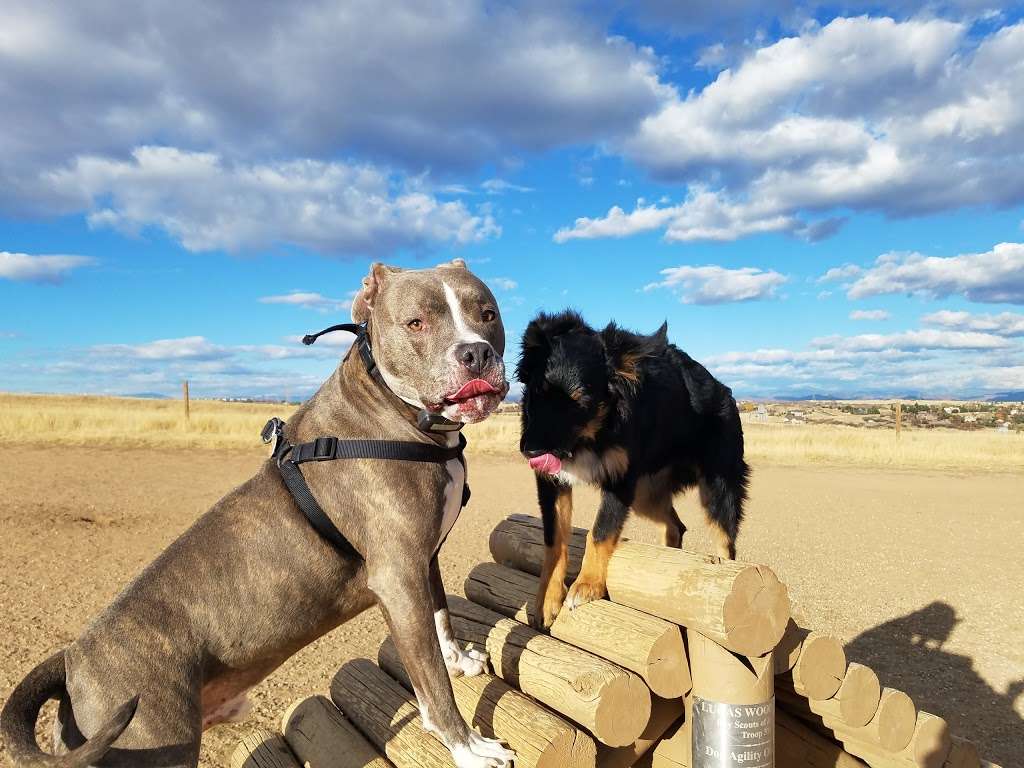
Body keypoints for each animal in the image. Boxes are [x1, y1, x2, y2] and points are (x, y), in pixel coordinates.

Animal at [0, 260, 512, 768]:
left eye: (487, 314)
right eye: (416, 323)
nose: (475, 353)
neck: (390, 408)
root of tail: (71, 660)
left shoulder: (423, 560)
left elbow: (442, 618)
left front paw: (461, 661)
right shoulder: (397, 576)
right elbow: (431, 681)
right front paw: (469, 748)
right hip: (153, 741)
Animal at [516, 311, 749, 630]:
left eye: (579, 402)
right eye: (536, 392)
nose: (530, 451)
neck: (592, 434)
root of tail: (722, 389)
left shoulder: (620, 478)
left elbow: (600, 531)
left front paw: (586, 586)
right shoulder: (552, 483)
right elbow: (554, 539)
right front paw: (547, 600)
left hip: (717, 487)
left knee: (726, 542)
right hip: (646, 495)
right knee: (676, 526)